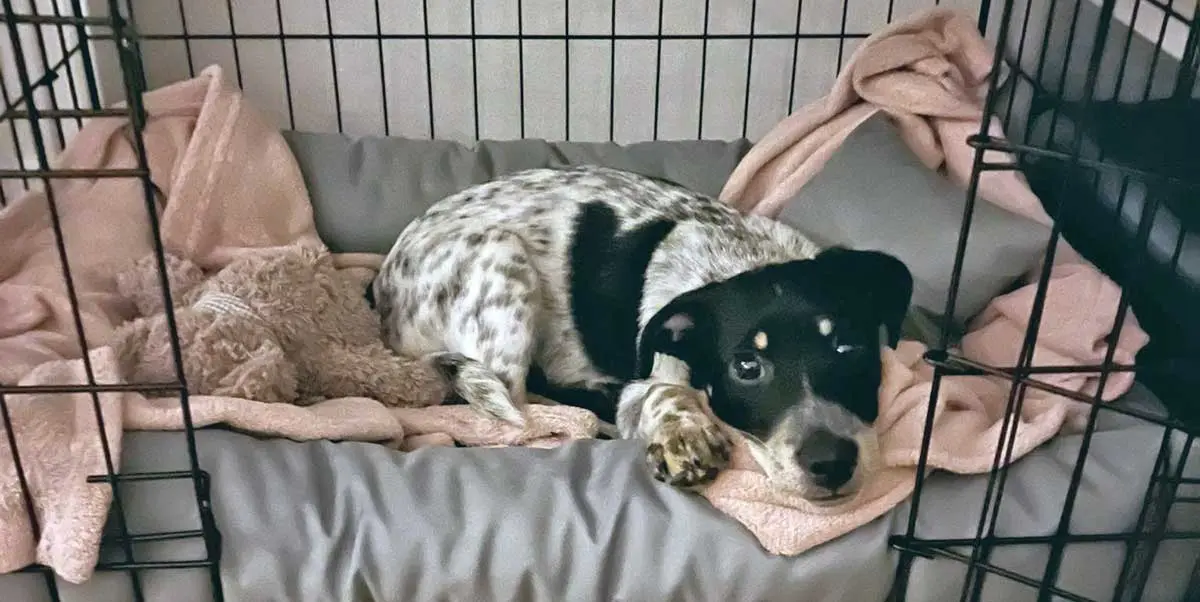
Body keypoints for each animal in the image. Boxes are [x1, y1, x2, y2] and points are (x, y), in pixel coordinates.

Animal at [374, 164, 907, 503]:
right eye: (746, 367)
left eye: (849, 345)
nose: (831, 463)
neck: (742, 256)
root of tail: (381, 292)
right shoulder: (643, 384)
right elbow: (661, 393)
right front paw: (684, 433)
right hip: (503, 265)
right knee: (518, 408)